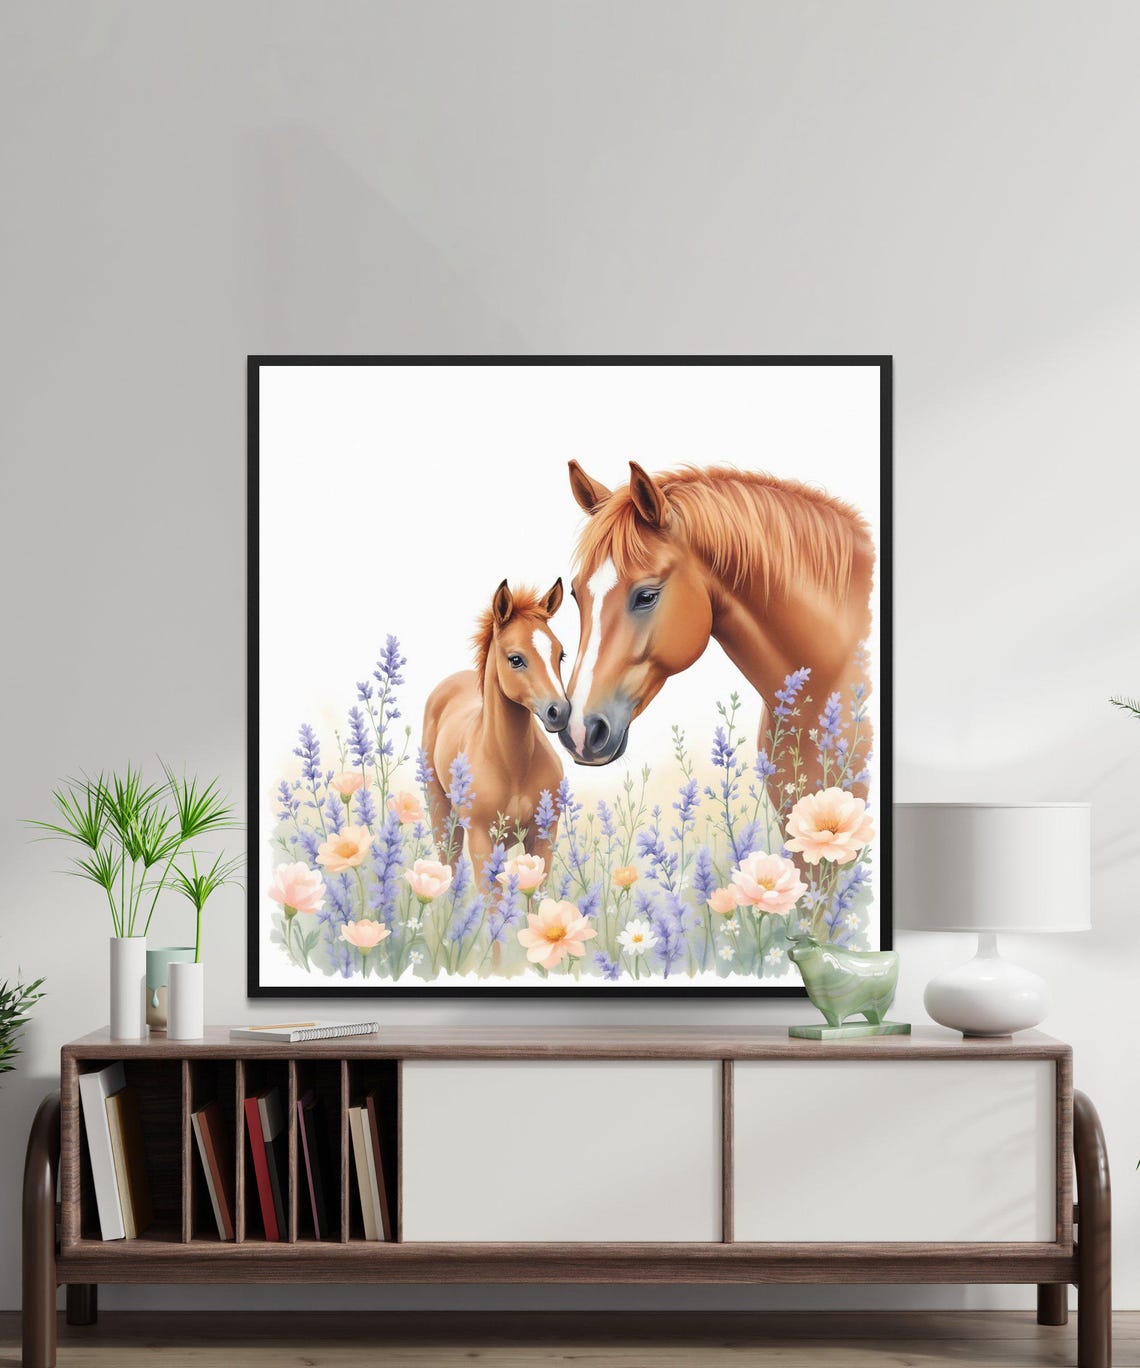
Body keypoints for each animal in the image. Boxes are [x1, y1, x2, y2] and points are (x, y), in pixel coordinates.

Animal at [421, 579, 570, 884]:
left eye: (560, 655)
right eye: (515, 659)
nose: (559, 711)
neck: (512, 764)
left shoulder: (542, 834)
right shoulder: (481, 838)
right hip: (441, 812)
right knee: (448, 863)